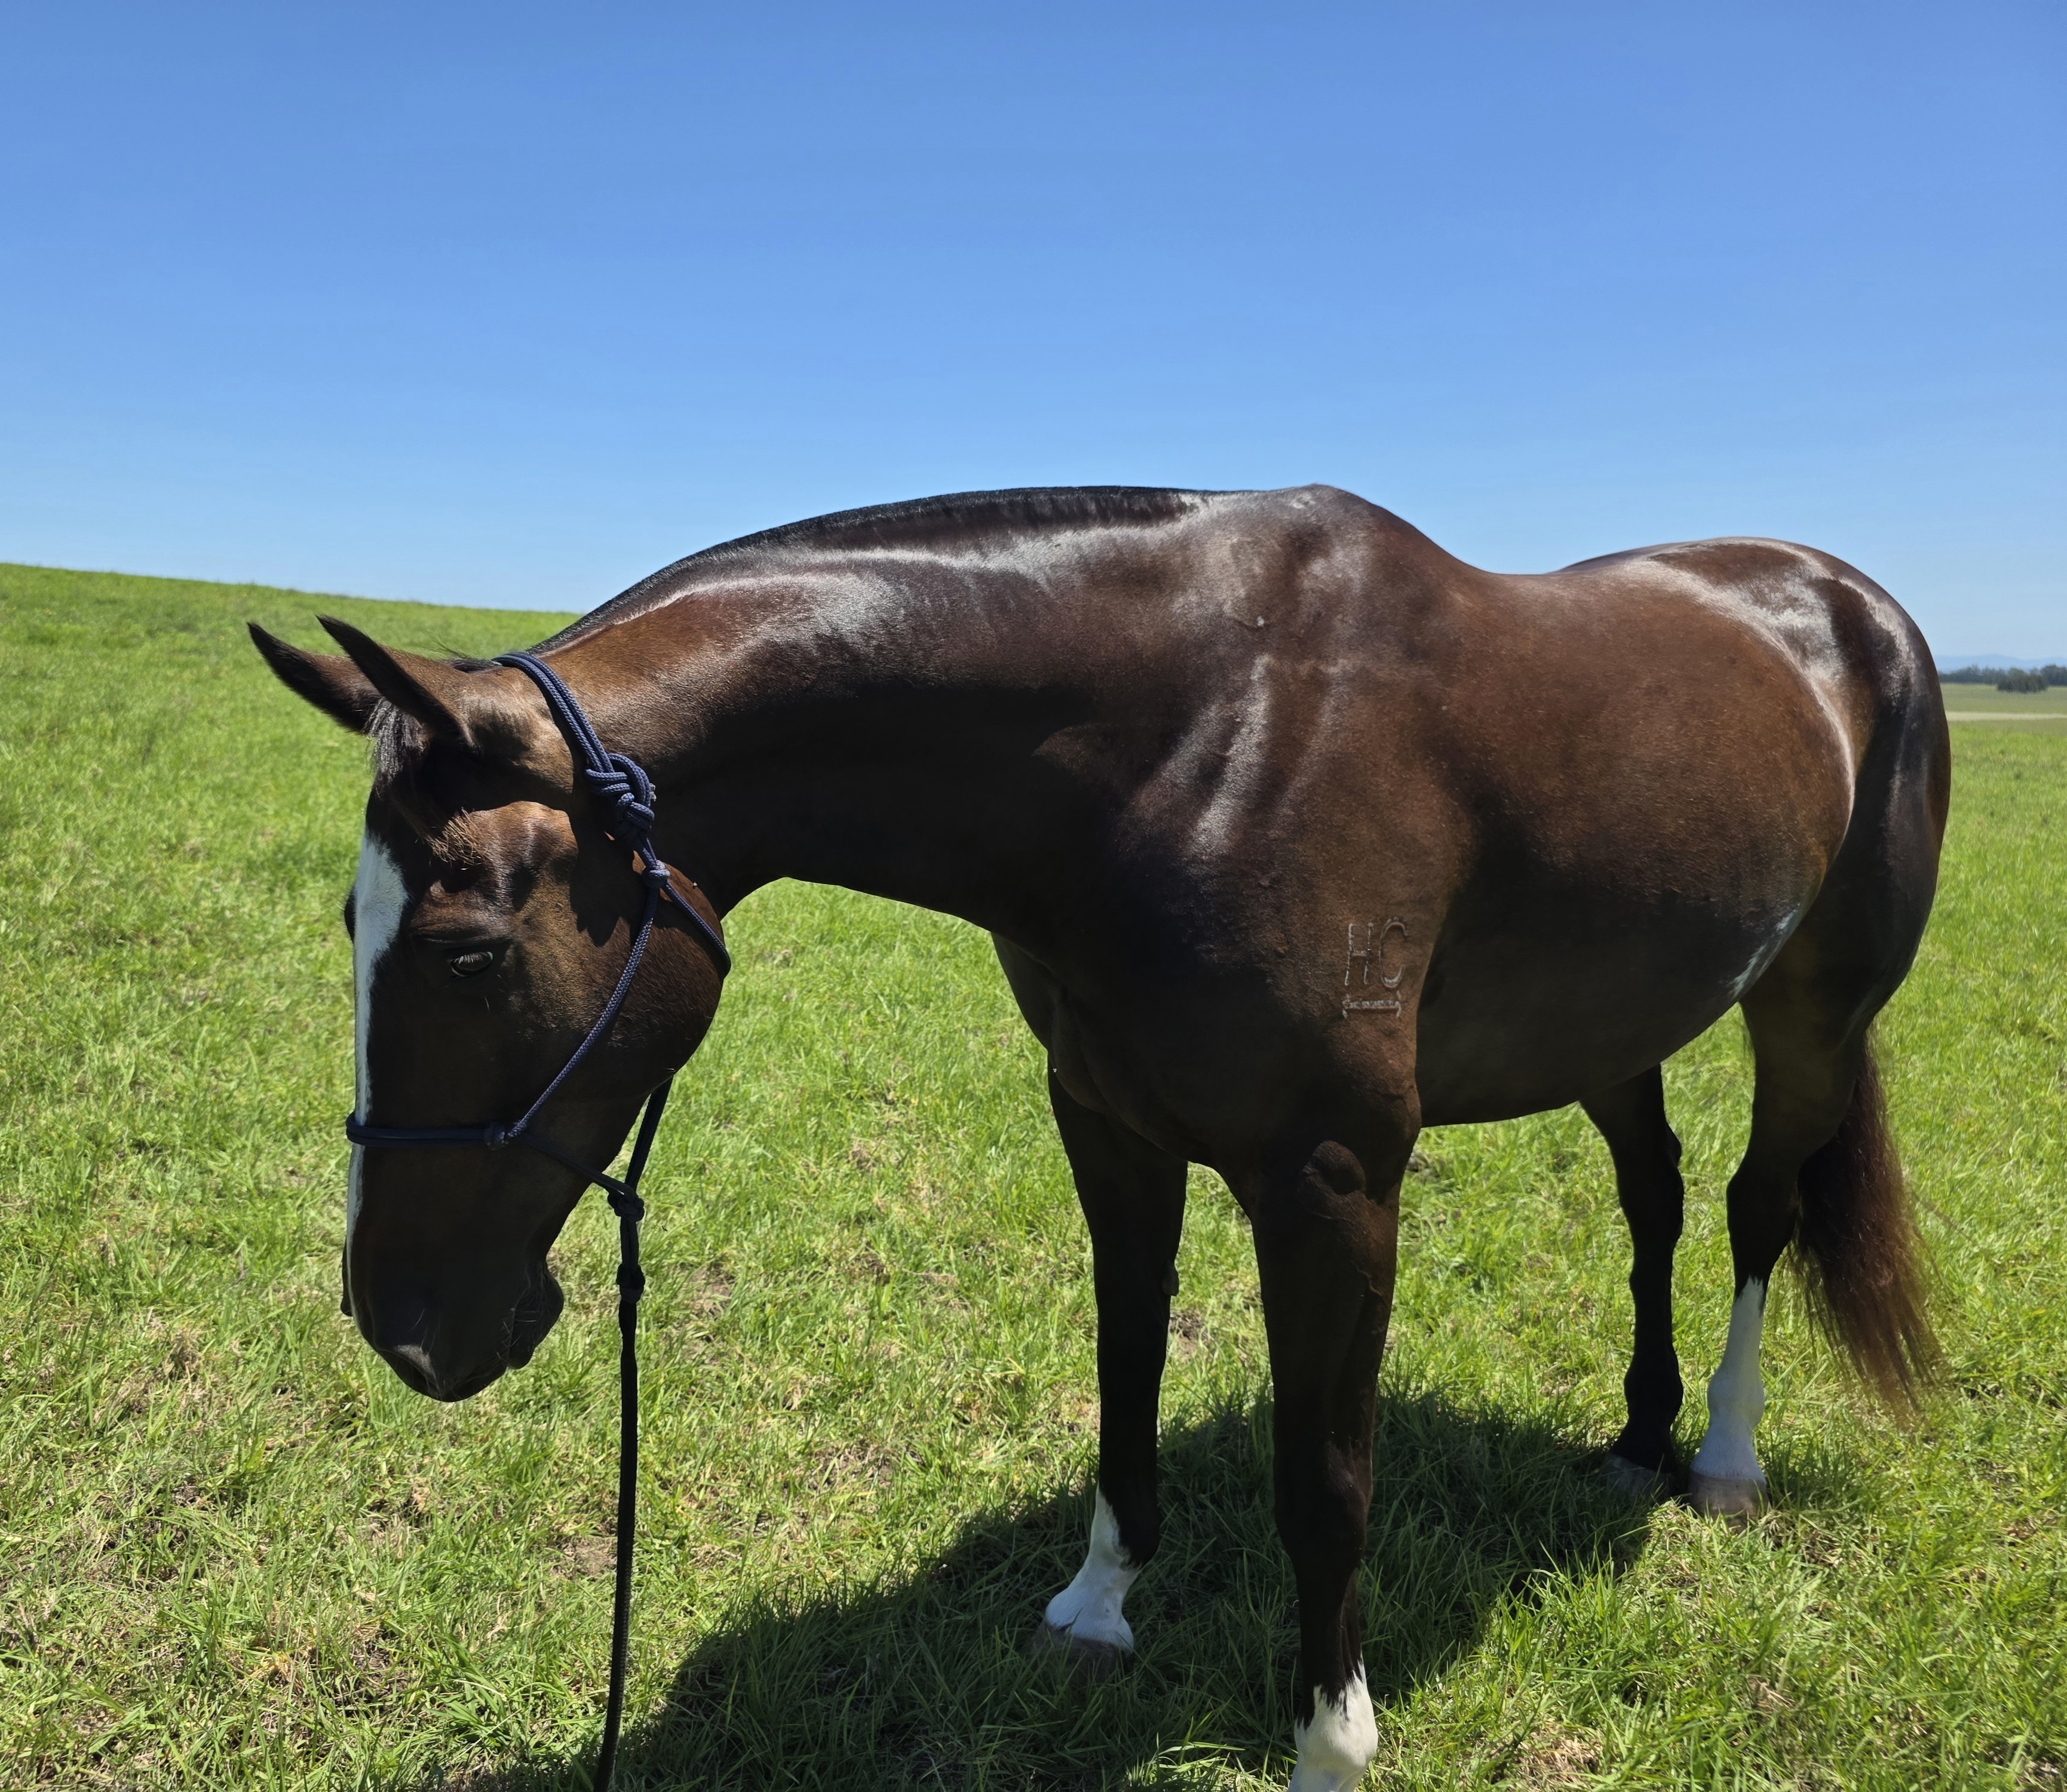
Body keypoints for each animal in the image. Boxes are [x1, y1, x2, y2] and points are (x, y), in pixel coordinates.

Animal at [251, 484, 1948, 1792]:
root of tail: (1849, 603)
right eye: (349, 925)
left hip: (1810, 1009)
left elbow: (1325, 1474)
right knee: (1654, 1196)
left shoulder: (1332, 1184)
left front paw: (1329, 1740)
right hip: (1618, 1021)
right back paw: (1638, 1434)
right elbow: (1124, 1365)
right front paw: (1098, 1603)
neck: (1198, 742)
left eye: (467, 952)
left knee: (1755, 1208)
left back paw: (1719, 1457)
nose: (399, 1326)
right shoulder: (1110, 1128)